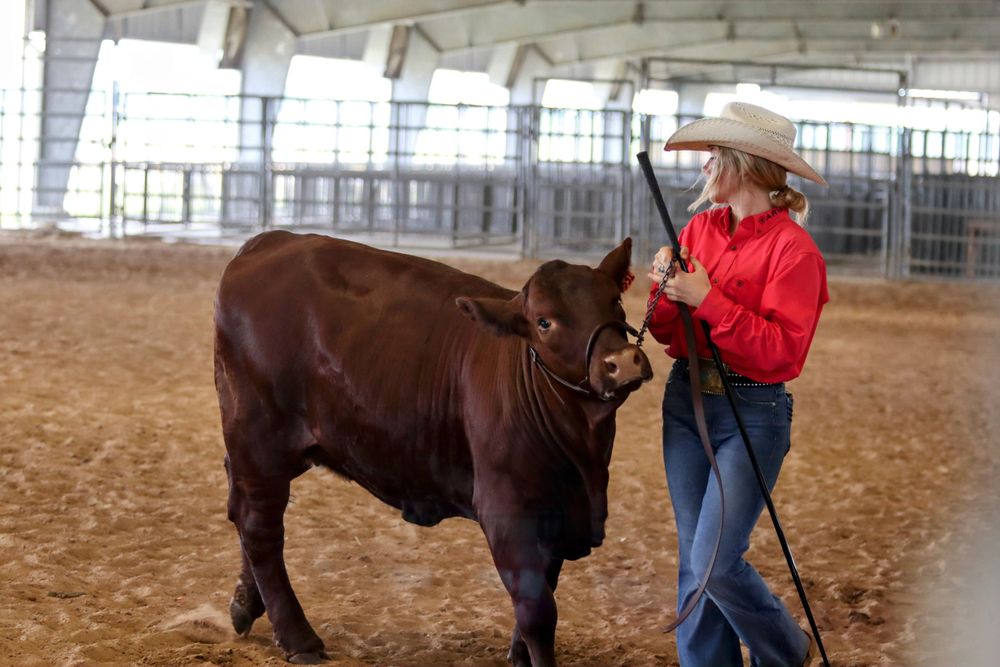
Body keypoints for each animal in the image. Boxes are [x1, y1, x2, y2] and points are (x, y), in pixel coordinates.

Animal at [213, 230, 653, 666]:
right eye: (545, 322)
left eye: (614, 300)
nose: (623, 362)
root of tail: (269, 242)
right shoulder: (507, 510)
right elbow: (538, 612)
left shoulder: (558, 512)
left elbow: (545, 586)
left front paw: (519, 655)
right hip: (260, 439)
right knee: (260, 528)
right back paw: (298, 636)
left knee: (243, 510)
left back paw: (245, 605)